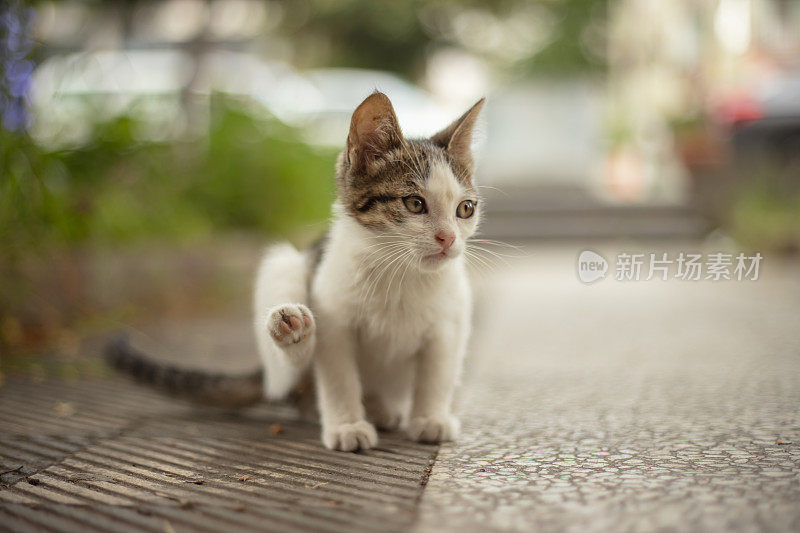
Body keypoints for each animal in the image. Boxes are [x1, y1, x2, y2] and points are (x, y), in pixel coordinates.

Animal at [253, 90, 484, 448]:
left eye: (465, 209)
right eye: (414, 203)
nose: (448, 238)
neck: (399, 271)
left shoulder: (450, 323)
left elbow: (437, 373)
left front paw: (430, 417)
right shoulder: (334, 321)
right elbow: (338, 377)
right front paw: (347, 425)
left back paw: (380, 409)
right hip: (287, 265)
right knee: (286, 372)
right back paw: (291, 328)